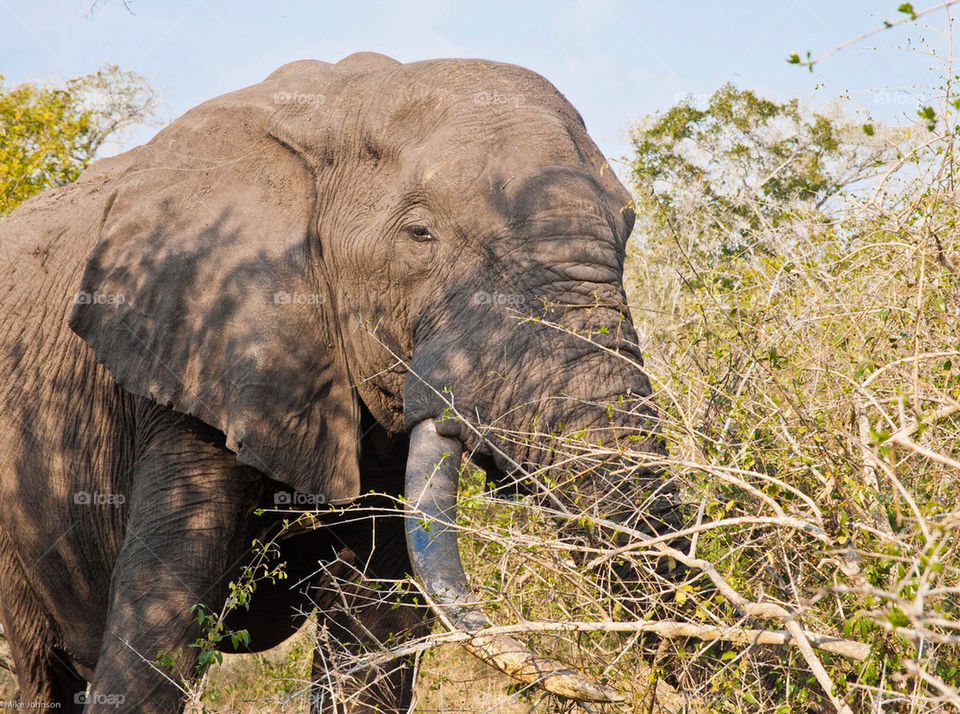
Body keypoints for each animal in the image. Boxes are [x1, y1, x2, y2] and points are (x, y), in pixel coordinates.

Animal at [0, 51, 685, 712]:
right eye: (419, 235)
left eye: (627, 229)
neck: (341, 108)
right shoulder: (195, 352)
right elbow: (158, 630)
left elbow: (375, 633)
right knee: (45, 671)